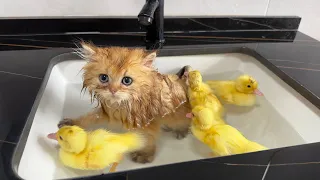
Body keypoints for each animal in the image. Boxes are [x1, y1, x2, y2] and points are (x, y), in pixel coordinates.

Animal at [58, 43, 191, 164]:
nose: (113, 90)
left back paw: (181, 130)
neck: (123, 105)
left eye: (127, 80)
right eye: (103, 78)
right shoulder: (108, 111)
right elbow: (90, 117)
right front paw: (73, 124)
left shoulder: (148, 122)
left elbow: (149, 138)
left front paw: (145, 154)